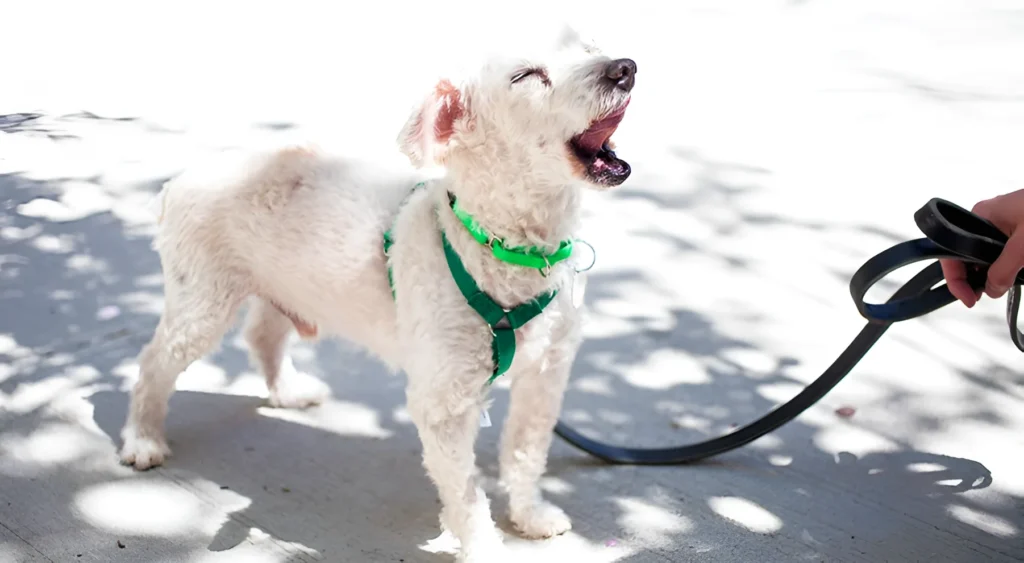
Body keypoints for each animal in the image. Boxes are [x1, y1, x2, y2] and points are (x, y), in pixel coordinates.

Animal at [117, 31, 630, 563]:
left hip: (284, 284)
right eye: (526, 75)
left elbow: (526, 454)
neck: (502, 246)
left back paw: (288, 392)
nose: (624, 68)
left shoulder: (545, 374)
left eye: (586, 46)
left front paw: (529, 515)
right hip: (201, 303)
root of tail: (182, 178)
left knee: (261, 335)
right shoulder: (444, 401)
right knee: (153, 363)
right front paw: (485, 546)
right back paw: (143, 439)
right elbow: (466, 494)